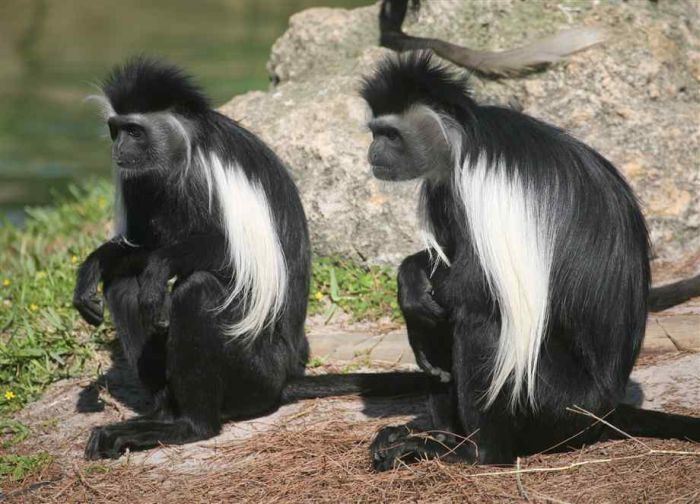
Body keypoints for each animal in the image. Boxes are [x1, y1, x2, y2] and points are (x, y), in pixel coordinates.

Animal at [72, 57, 310, 458]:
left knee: (198, 291)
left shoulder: (210, 174)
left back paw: (190, 426)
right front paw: (92, 267)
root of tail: (287, 374)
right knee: (124, 287)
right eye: (114, 129)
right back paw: (158, 417)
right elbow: (140, 246)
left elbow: (226, 255)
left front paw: (159, 270)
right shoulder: (137, 182)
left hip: (255, 370)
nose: (117, 150)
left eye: (134, 131)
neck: (181, 154)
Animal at [360, 53, 700, 470]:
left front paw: (411, 297)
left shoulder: (480, 181)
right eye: (375, 132)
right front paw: (411, 280)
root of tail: (606, 405)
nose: (373, 153)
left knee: (484, 320)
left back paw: (475, 453)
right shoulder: (444, 187)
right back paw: (434, 438)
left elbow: (475, 283)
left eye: (390, 134)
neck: (459, 139)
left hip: (557, 399)